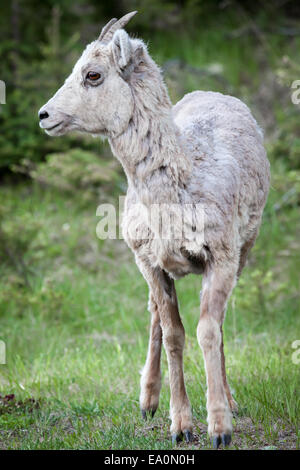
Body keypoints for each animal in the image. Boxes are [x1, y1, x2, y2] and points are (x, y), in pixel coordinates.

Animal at [38, 11, 270, 448]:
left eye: (93, 75)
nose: (44, 115)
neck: (179, 187)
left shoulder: (222, 259)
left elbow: (208, 331)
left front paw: (220, 428)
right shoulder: (151, 263)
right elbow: (174, 333)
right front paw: (181, 427)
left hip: (245, 250)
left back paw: (228, 401)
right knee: (155, 319)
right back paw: (147, 402)